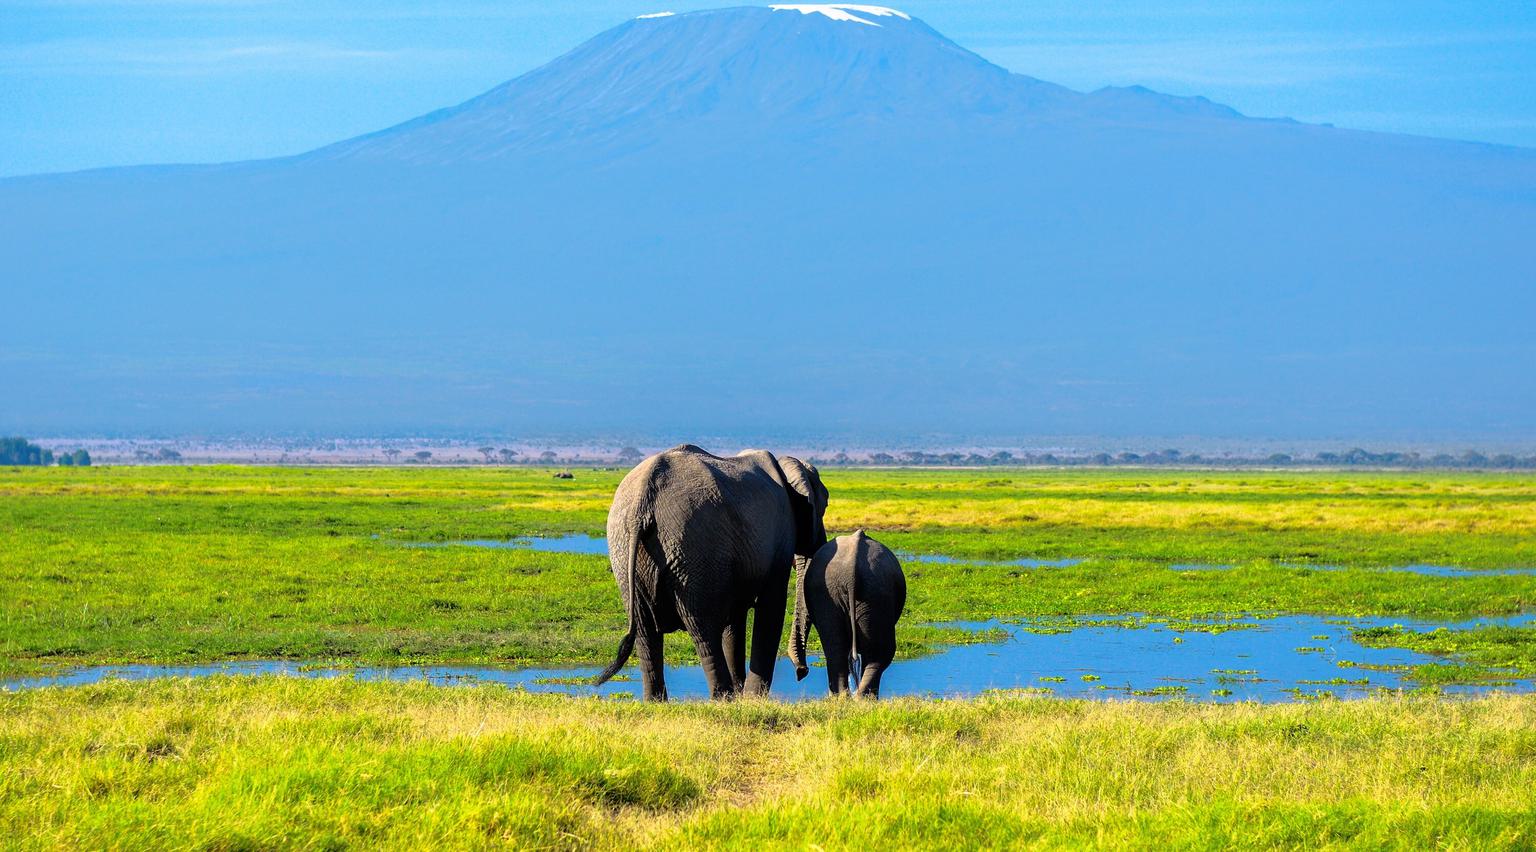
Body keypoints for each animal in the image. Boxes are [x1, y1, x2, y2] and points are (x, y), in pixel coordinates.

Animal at [593, 444, 828, 700]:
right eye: (824, 507)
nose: (801, 672)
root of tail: (642, 502)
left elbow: (735, 618)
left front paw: (744, 695)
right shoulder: (780, 536)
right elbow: (771, 606)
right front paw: (753, 698)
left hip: (625, 548)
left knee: (646, 630)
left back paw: (657, 702)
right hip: (694, 549)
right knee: (703, 628)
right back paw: (723, 698)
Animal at [789, 530, 906, 698]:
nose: (802, 671)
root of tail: (852, 573)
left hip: (841, 592)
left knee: (836, 650)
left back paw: (844, 698)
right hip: (874, 593)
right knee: (881, 653)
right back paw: (862, 700)